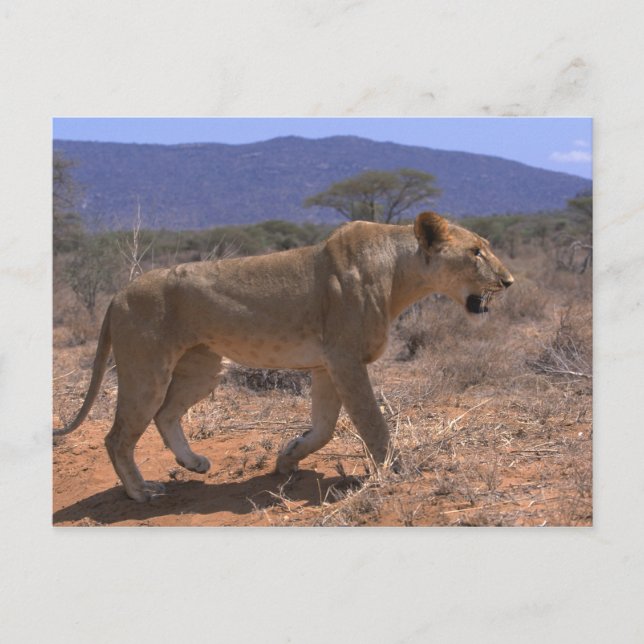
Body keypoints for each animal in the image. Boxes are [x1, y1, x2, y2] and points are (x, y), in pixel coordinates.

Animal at [54, 212, 513, 502]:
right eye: (476, 252)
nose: (509, 281)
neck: (401, 273)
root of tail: (117, 294)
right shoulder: (346, 359)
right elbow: (372, 422)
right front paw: (397, 469)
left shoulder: (327, 365)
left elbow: (324, 428)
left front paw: (287, 457)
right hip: (146, 370)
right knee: (117, 436)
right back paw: (140, 491)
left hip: (203, 367)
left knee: (166, 414)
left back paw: (194, 464)